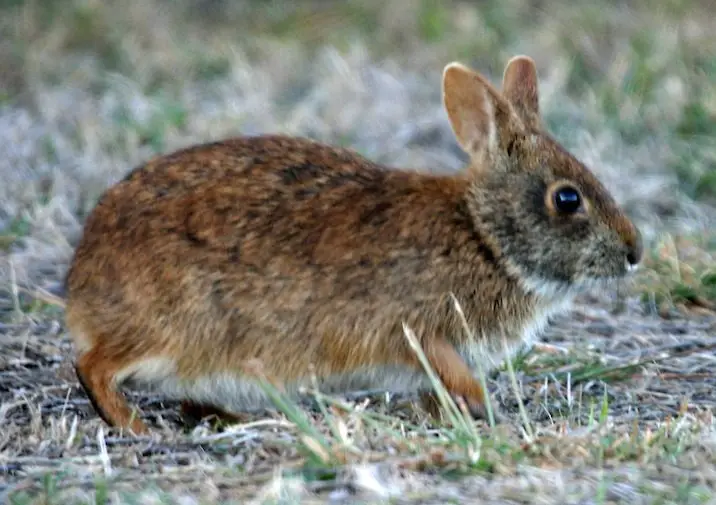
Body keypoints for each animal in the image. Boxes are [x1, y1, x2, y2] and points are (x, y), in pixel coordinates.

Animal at [63, 54, 644, 434]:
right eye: (567, 199)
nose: (634, 252)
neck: (484, 236)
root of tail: (81, 286)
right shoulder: (421, 327)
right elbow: (448, 368)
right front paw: (486, 407)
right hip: (175, 327)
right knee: (93, 365)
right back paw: (133, 426)